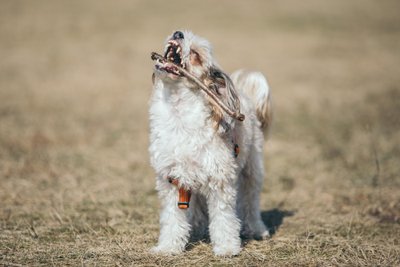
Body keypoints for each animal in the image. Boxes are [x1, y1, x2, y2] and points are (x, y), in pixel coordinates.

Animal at [149, 30, 272, 256]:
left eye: (196, 54)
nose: (178, 33)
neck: (180, 116)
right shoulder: (171, 180)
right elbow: (172, 218)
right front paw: (168, 247)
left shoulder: (220, 180)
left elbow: (224, 218)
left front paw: (227, 248)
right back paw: (197, 228)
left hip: (252, 170)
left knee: (250, 202)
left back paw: (257, 229)